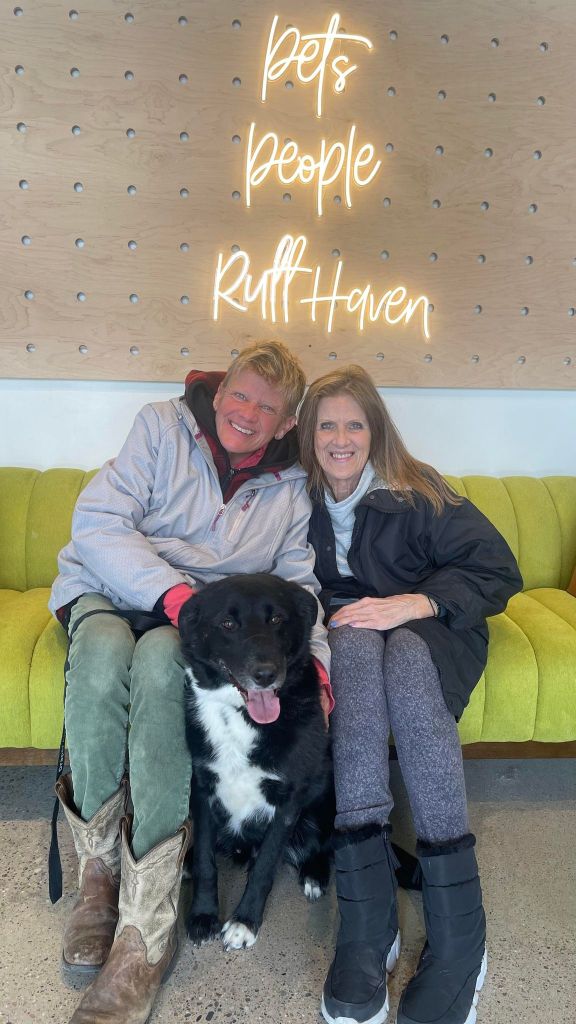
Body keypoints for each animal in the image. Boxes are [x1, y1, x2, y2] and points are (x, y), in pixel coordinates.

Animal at [178, 577, 332, 950]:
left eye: (277, 619)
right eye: (227, 624)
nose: (265, 675)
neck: (240, 717)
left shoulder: (290, 800)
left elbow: (264, 867)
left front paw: (244, 922)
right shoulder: (202, 787)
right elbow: (206, 861)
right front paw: (203, 914)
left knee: (326, 842)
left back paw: (314, 873)